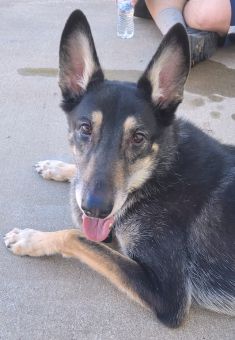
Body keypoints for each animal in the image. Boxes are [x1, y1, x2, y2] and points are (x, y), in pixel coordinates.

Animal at [4, 9, 235, 326]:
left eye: (138, 138)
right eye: (85, 128)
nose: (95, 209)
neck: (160, 172)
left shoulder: (169, 295)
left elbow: (75, 235)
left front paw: (31, 238)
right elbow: (79, 192)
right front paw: (57, 167)